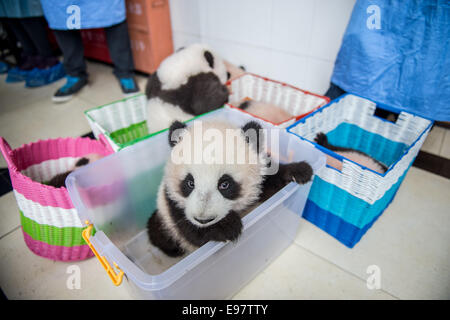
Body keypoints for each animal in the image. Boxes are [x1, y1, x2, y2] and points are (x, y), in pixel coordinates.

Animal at [148, 119, 312, 256]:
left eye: (224, 184)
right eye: (190, 183)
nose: (203, 219)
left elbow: (271, 181)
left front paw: (299, 171)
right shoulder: (172, 202)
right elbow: (191, 230)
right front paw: (226, 227)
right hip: (164, 220)